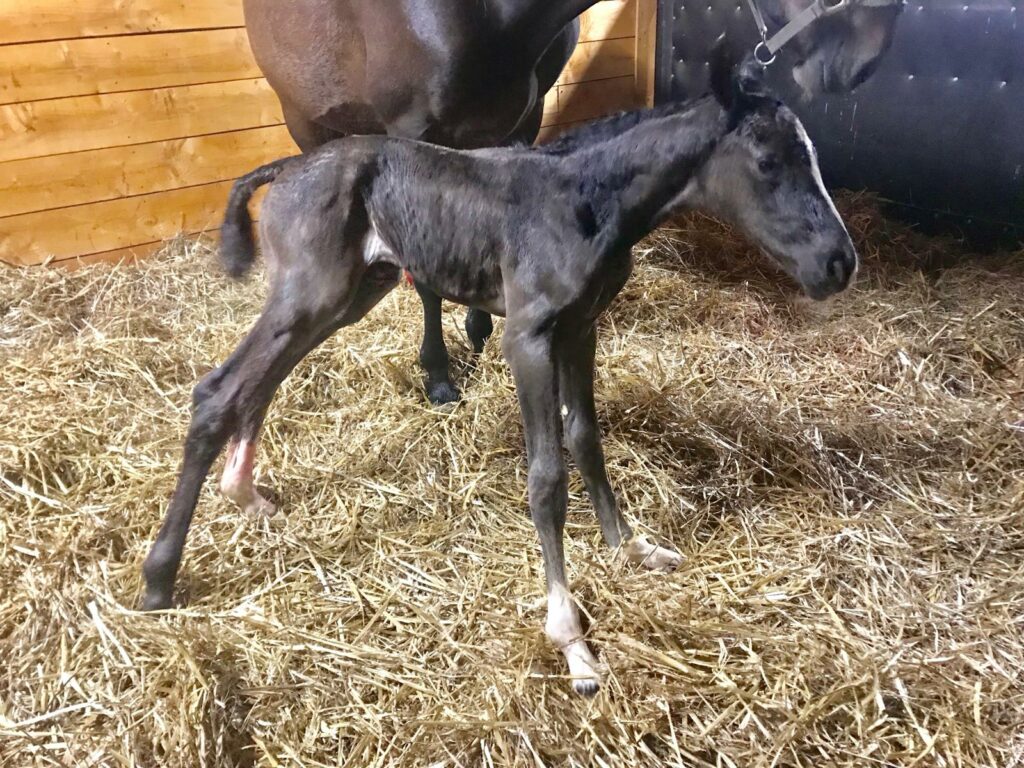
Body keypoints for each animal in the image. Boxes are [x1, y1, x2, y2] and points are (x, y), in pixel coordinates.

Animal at [142, 57, 856, 696]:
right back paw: (158, 578)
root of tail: (285, 169)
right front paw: (572, 641)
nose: (840, 263)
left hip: (349, 294)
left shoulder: (581, 328)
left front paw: (630, 549)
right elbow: (546, 479)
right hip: (311, 292)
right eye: (768, 163)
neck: (587, 201)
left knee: (257, 385)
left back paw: (245, 496)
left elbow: (587, 441)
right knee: (219, 391)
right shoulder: (528, 337)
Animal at [241, 0, 905, 405]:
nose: (862, 65)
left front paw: (480, 327)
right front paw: (439, 375)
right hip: (306, 120)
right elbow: (428, 276)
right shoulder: (415, 131)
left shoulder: (521, 117)